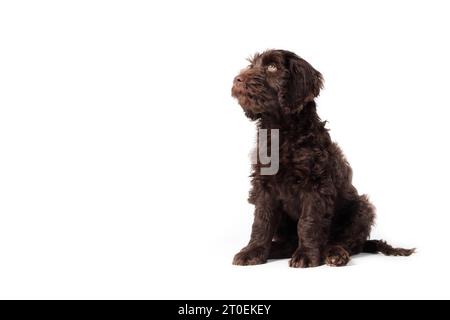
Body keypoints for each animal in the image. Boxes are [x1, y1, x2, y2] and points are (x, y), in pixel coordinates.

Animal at [232, 48, 414, 268]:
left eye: (272, 67)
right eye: (252, 66)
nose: (237, 79)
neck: (281, 131)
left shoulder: (316, 185)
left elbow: (308, 222)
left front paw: (306, 255)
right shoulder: (264, 185)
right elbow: (262, 221)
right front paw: (253, 251)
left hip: (362, 208)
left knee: (348, 242)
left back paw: (334, 253)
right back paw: (276, 249)